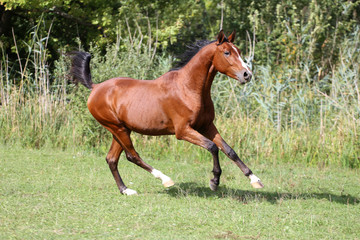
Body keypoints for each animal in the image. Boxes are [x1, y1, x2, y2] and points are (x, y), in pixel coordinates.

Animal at [70, 29, 262, 195]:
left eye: (238, 51)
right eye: (227, 53)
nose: (247, 75)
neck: (188, 88)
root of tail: (95, 87)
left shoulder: (207, 126)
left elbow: (229, 150)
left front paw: (255, 180)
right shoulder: (183, 131)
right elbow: (212, 147)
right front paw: (214, 181)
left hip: (121, 130)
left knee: (112, 159)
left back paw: (126, 190)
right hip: (117, 128)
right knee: (132, 155)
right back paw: (165, 179)